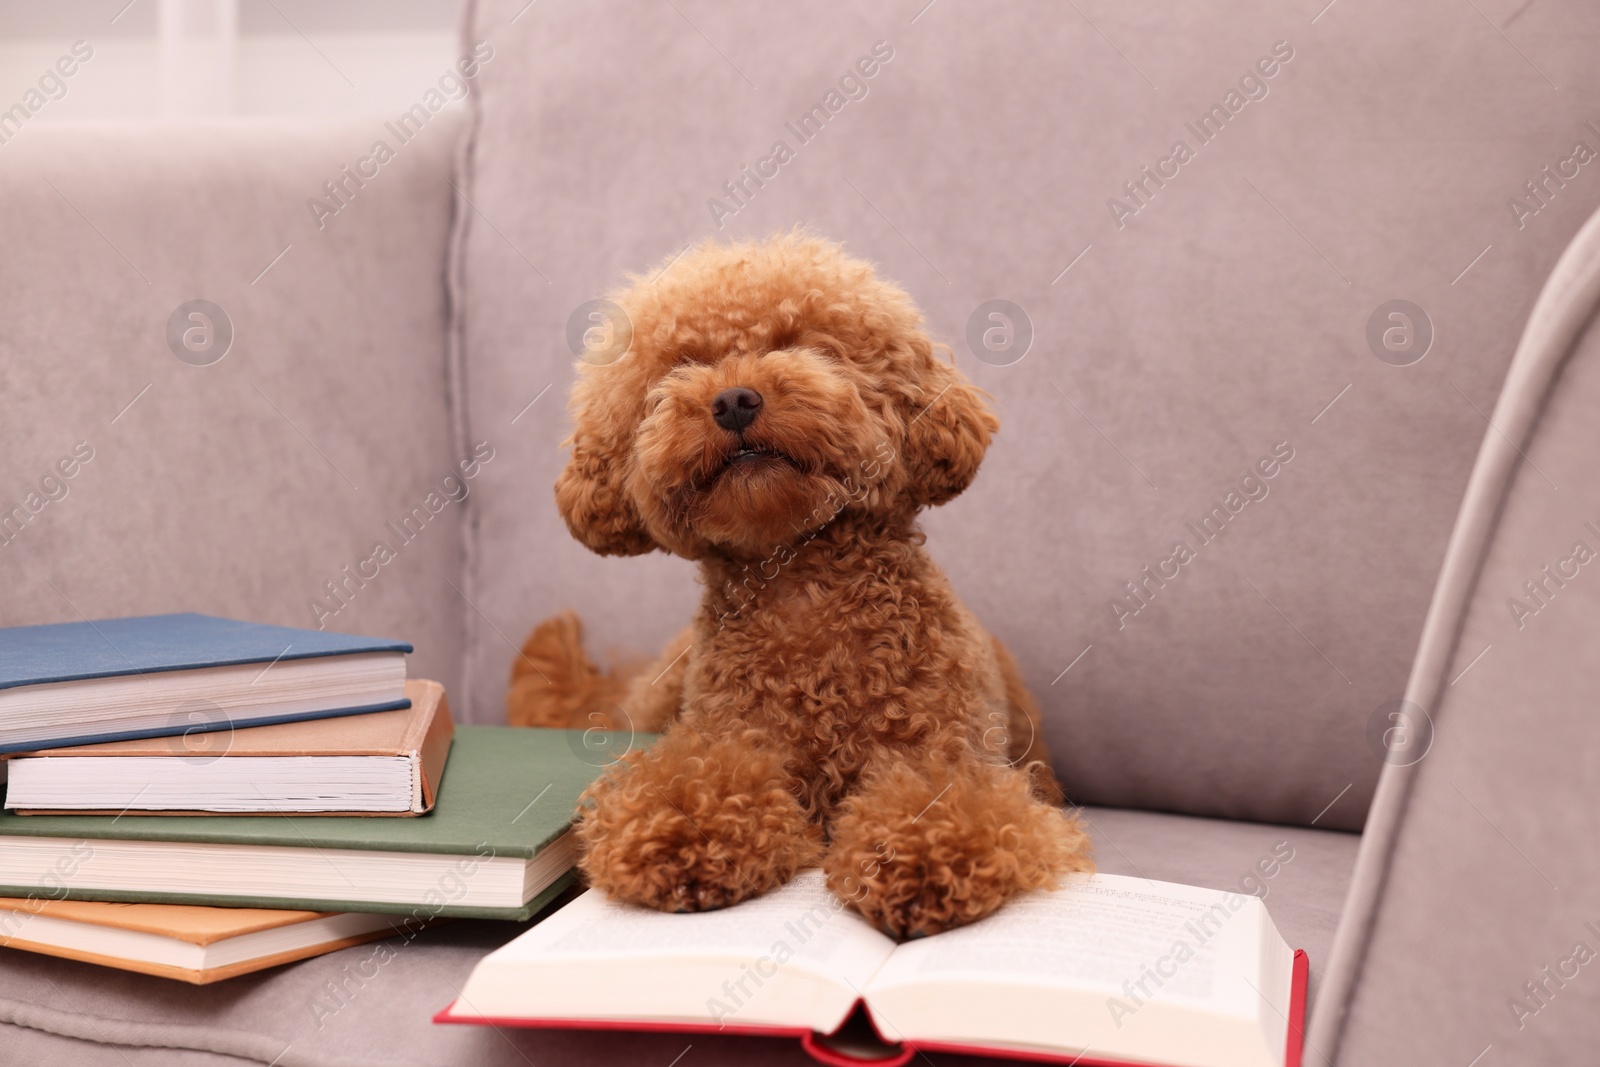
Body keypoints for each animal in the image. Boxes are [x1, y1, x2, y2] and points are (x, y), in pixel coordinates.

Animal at [512, 231, 1088, 934]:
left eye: (801, 343)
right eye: (682, 365)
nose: (733, 399)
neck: (802, 594)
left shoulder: (952, 753)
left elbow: (939, 798)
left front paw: (922, 860)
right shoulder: (722, 740)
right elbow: (699, 783)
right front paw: (683, 840)